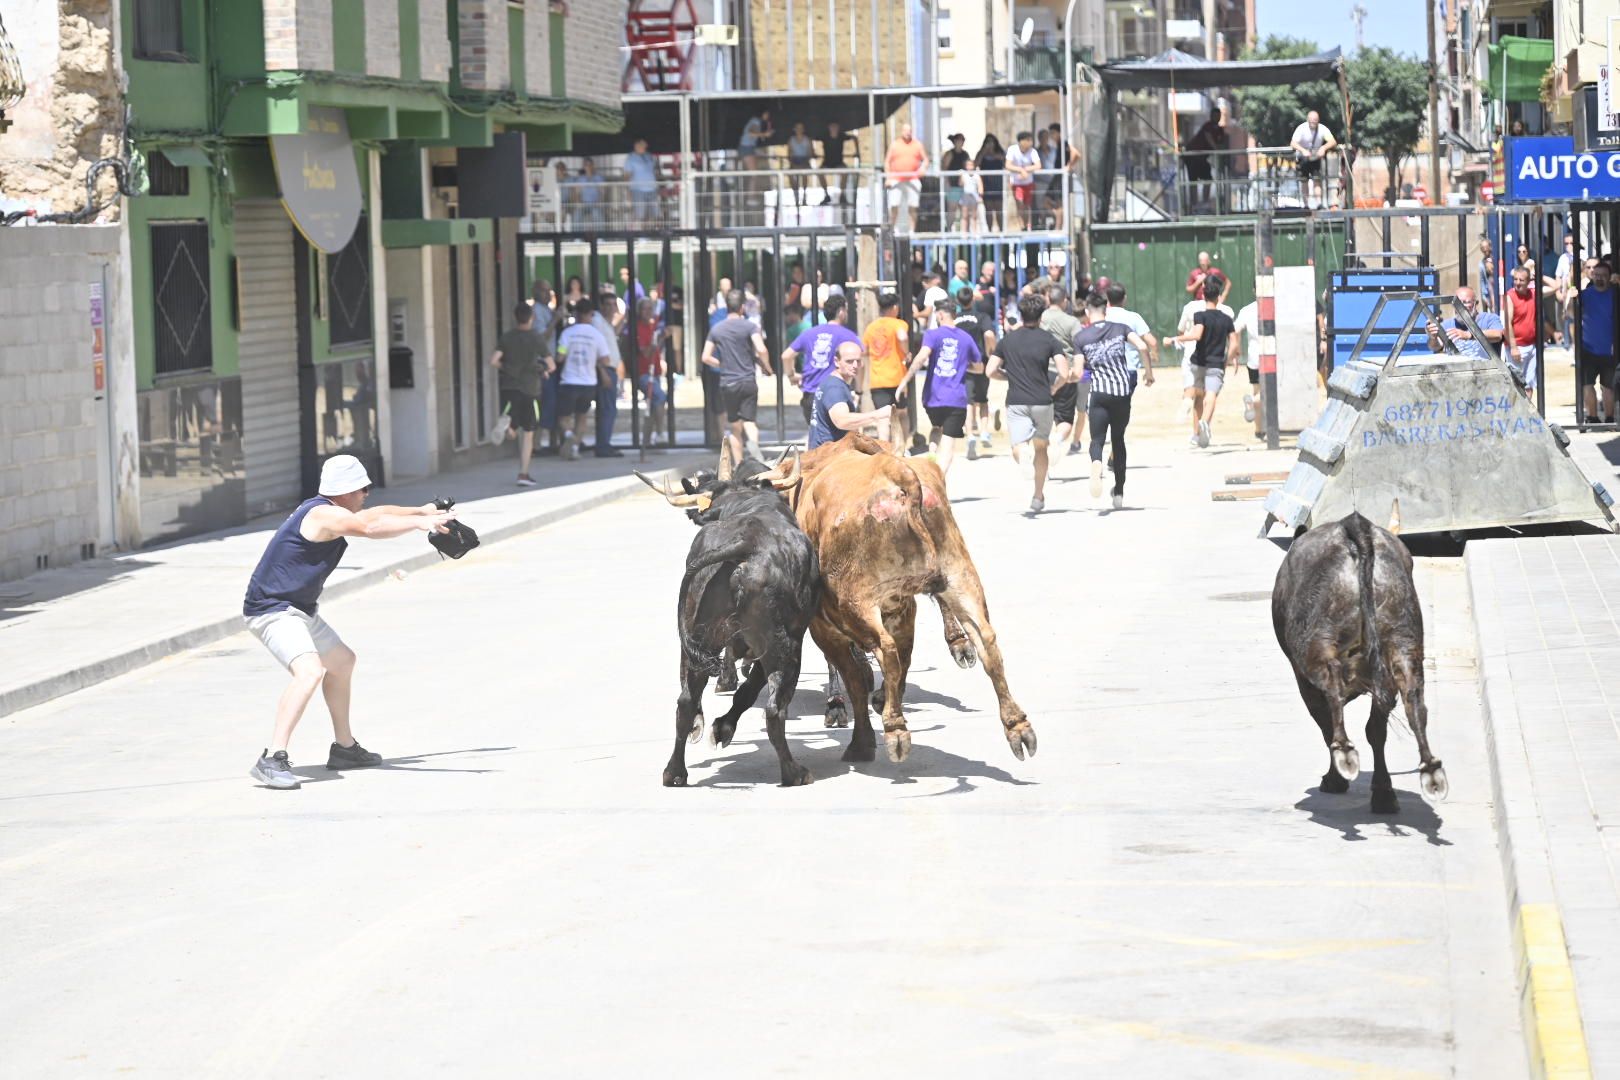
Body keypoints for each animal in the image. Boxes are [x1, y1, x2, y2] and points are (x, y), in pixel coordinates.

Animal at [797, 430, 1036, 761]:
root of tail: (898, 472)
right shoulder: (902, 608)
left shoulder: (824, 625)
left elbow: (855, 675)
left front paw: (861, 739)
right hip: (959, 575)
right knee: (985, 640)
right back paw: (1018, 727)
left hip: (855, 601)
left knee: (885, 649)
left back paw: (895, 728)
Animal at [1270, 514, 1451, 809]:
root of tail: (1354, 526)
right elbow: (1376, 729)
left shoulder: (1301, 678)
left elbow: (1326, 722)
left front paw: (1335, 779)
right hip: (1403, 639)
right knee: (1412, 699)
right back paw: (1427, 773)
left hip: (1317, 644)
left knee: (1332, 685)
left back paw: (1344, 754)